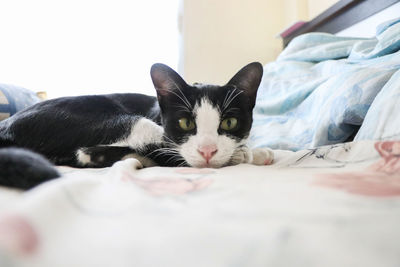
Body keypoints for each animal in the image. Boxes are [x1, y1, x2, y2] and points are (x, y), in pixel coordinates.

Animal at [0, 62, 274, 189]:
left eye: (229, 122)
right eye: (186, 123)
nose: (208, 151)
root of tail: (6, 126)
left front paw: (251, 150)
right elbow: (173, 152)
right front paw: (249, 153)